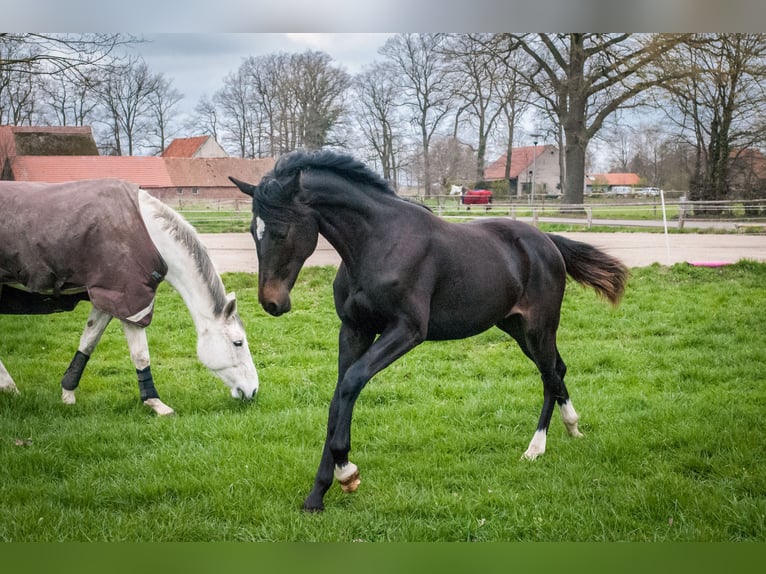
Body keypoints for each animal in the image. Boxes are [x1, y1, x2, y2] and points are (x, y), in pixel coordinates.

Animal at [0, 181, 260, 414]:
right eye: (238, 342)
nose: (253, 391)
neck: (150, 234)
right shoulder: (131, 301)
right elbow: (141, 355)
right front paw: (155, 403)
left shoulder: (109, 299)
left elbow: (88, 342)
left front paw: (68, 394)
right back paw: (10, 388)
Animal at [230, 150, 632, 512]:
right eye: (253, 231)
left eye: (281, 231)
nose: (272, 302)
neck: (379, 243)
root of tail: (548, 241)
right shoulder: (355, 330)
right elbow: (338, 395)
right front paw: (318, 495)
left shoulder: (407, 330)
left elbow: (352, 382)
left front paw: (346, 471)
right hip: (516, 328)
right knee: (557, 370)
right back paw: (573, 427)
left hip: (538, 327)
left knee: (549, 375)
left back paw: (536, 448)